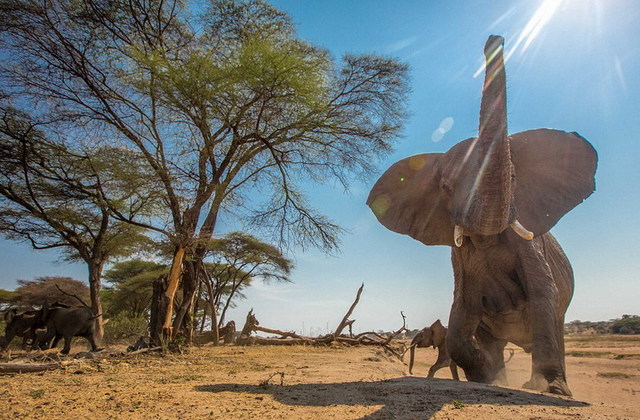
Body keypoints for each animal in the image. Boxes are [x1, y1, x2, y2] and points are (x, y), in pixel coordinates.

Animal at [368, 34, 596, 396]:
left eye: (514, 177)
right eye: (446, 187)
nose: (494, 39)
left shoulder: (532, 249)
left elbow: (543, 296)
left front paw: (551, 390)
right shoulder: (459, 258)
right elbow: (462, 310)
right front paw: (486, 376)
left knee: (555, 323)